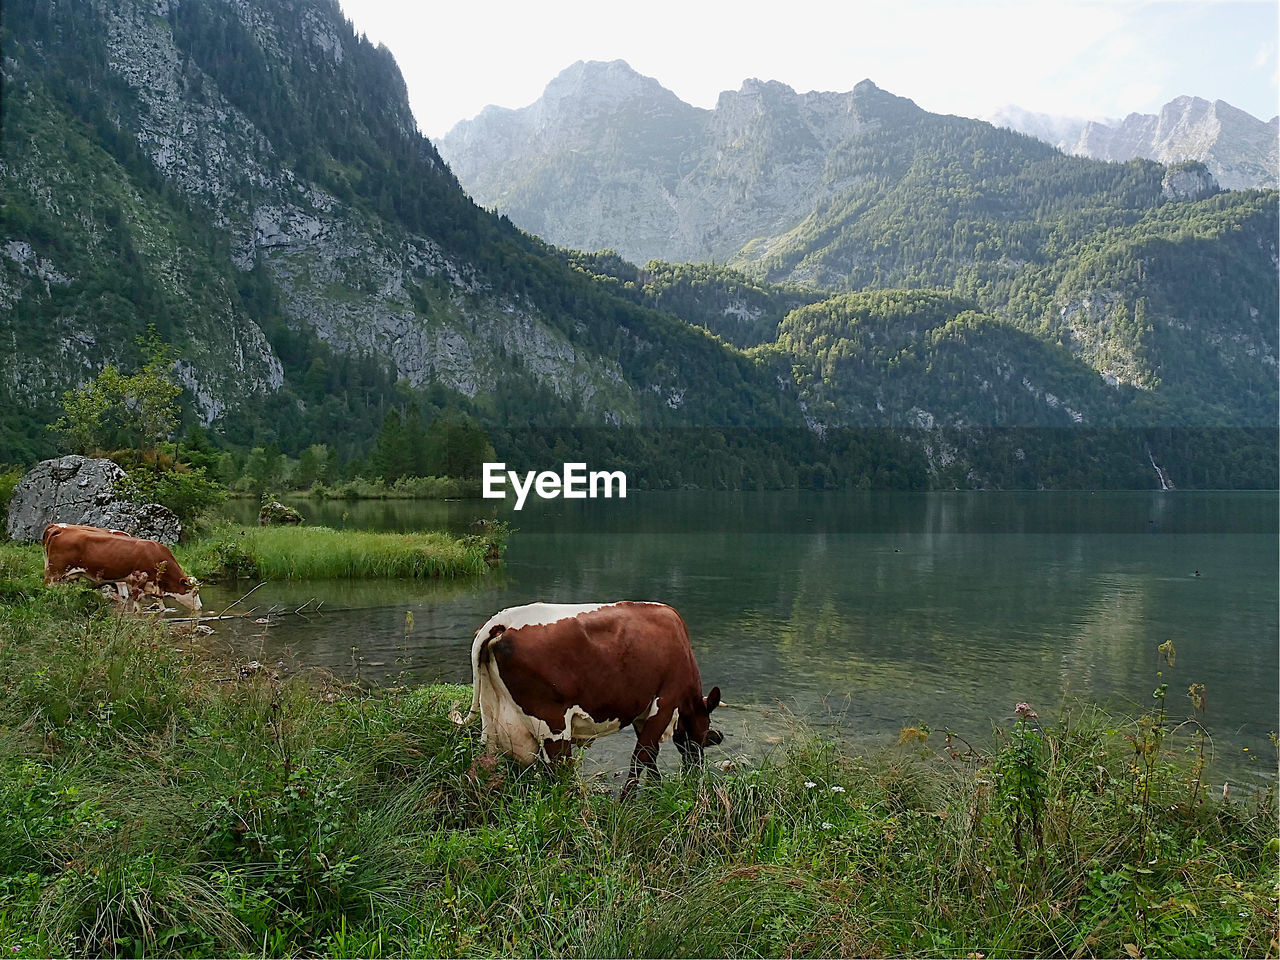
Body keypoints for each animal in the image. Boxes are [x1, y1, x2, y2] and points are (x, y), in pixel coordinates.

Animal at [41, 522, 202, 611]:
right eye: (194, 592)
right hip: (54, 574)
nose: (200, 607)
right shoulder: (137, 581)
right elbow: (137, 608)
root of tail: (58, 528)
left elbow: (161, 606)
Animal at [453, 601, 721, 798]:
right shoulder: (665, 702)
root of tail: (504, 620)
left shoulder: (642, 711)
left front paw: (655, 791)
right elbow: (642, 755)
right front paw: (626, 804)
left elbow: (650, 756)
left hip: (492, 719)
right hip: (553, 726)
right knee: (560, 774)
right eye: (703, 736)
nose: (695, 770)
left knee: (487, 766)